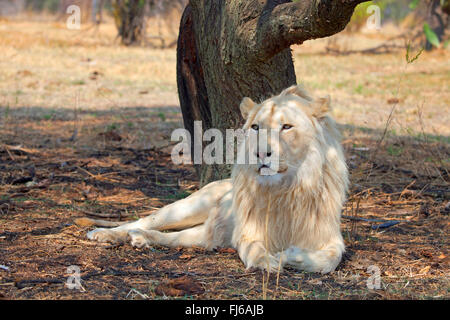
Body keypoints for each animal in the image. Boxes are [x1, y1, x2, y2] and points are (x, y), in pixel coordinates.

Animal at [86, 85, 350, 276]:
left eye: (286, 127)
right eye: (256, 127)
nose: (260, 153)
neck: (286, 189)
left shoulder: (330, 237)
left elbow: (330, 259)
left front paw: (290, 255)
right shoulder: (247, 231)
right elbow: (254, 248)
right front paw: (267, 261)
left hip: (205, 233)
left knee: (169, 236)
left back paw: (140, 239)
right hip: (186, 208)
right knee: (143, 221)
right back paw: (103, 234)